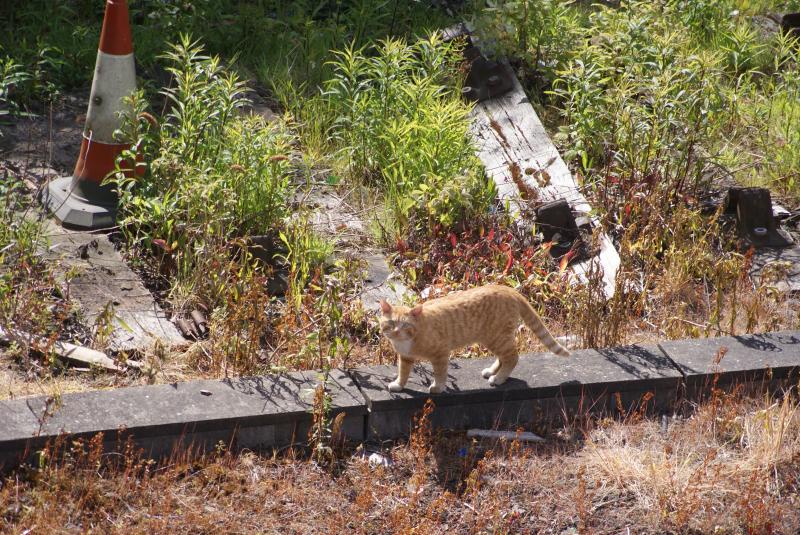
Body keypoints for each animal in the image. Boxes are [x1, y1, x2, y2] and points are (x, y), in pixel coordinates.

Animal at [380, 284, 568, 394]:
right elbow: (403, 372)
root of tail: (507, 288)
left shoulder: (441, 354)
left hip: (497, 337)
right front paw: (398, 385)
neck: (405, 342)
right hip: (494, 338)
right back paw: (492, 371)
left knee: (512, 357)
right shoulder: (405, 358)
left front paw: (438, 387)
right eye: (391, 323)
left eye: (405, 325)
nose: (396, 332)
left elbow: (440, 373)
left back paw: (498, 379)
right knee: (503, 357)